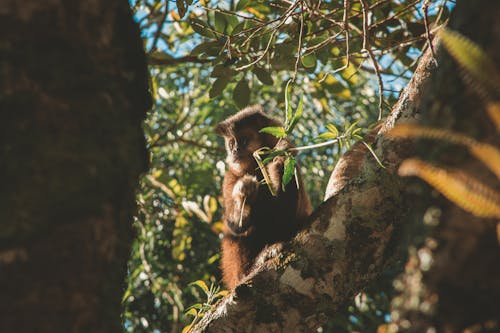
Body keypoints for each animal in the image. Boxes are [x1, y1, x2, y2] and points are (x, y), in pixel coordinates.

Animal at [216, 104, 310, 288]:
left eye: (244, 141)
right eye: (231, 143)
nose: (235, 151)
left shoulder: (293, 164)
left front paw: (279, 162)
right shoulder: (230, 177)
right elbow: (236, 226)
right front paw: (244, 192)